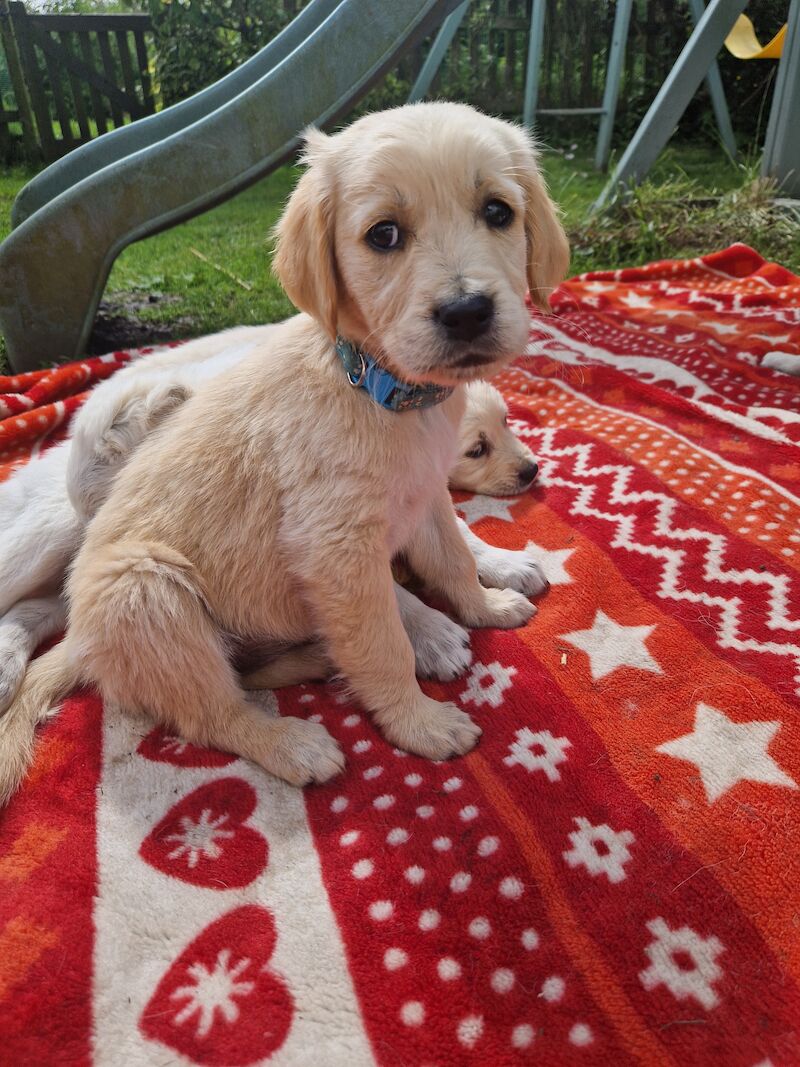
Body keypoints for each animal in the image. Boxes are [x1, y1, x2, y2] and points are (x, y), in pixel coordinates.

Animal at [0, 101, 571, 802]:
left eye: (497, 212)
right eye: (384, 235)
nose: (467, 311)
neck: (377, 388)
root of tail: (82, 641)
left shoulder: (427, 497)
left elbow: (455, 558)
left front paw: (485, 604)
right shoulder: (335, 551)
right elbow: (383, 640)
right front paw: (420, 722)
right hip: (145, 590)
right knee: (211, 712)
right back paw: (291, 743)